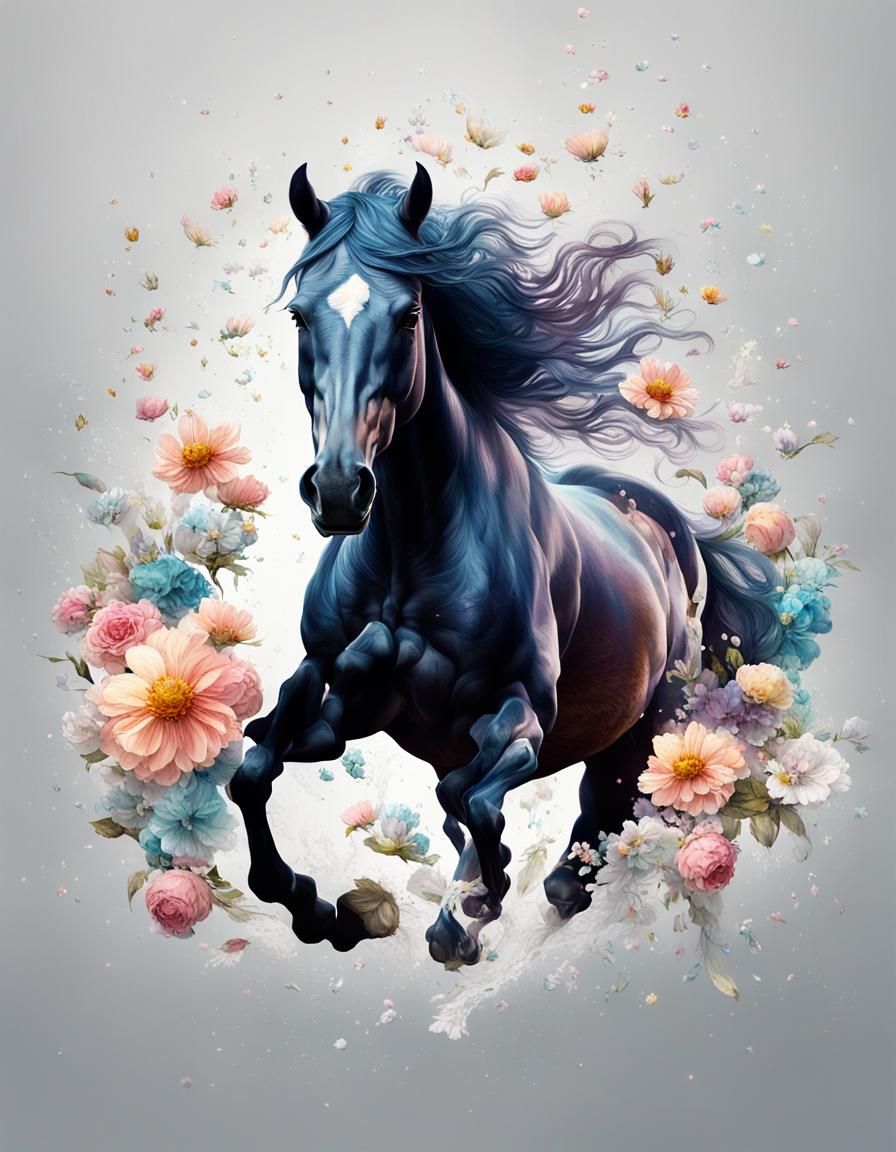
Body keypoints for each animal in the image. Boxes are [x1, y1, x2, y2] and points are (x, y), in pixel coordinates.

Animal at [228, 162, 783, 967]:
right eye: (301, 315)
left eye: (407, 316)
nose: (337, 490)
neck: (410, 554)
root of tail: (670, 531)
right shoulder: (333, 698)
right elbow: (255, 770)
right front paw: (318, 910)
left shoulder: (521, 715)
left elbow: (473, 798)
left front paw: (474, 907)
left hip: (650, 728)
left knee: (593, 813)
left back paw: (516, 898)